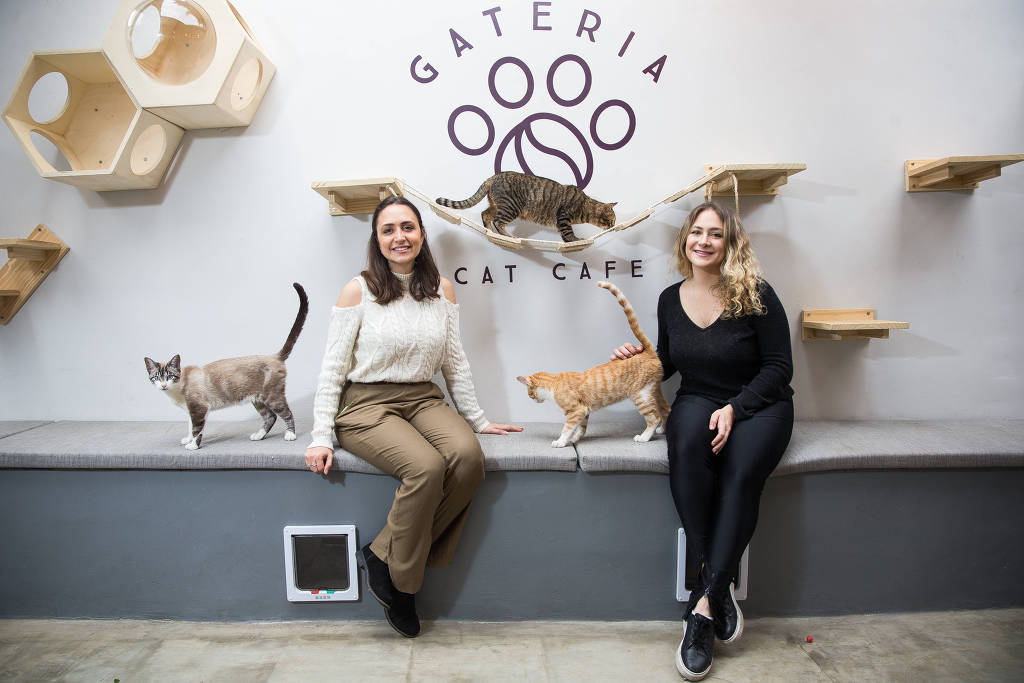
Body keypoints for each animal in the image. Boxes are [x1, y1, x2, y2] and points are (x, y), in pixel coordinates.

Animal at [144, 283, 308, 450]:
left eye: (170, 376)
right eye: (156, 377)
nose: (164, 385)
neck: (176, 391)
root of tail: (274, 356)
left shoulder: (199, 409)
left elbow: (197, 429)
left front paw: (193, 445)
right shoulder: (191, 410)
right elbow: (190, 427)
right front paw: (188, 440)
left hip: (272, 397)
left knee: (287, 413)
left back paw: (290, 435)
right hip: (257, 399)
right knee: (270, 417)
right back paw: (258, 436)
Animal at [436, 171, 617, 242]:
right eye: (612, 220)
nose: (614, 227)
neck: (585, 206)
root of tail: (492, 177)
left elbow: (565, 236)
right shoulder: (564, 216)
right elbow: (568, 233)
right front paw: (575, 240)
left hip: (496, 205)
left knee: (485, 214)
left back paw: (490, 232)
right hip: (511, 207)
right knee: (498, 221)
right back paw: (508, 236)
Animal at [517, 281, 669, 447]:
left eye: (530, 394)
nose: (533, 399)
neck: (554, 383)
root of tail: (648, 352)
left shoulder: (576, 411)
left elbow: (567, 428)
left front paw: (561, 441)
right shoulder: (584, 411)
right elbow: (581, 429)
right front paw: (574, 439)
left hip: (640, 395)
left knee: (654, 417)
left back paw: (644, 437)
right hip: (653, 390)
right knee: (666, 409)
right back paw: (663, 430)